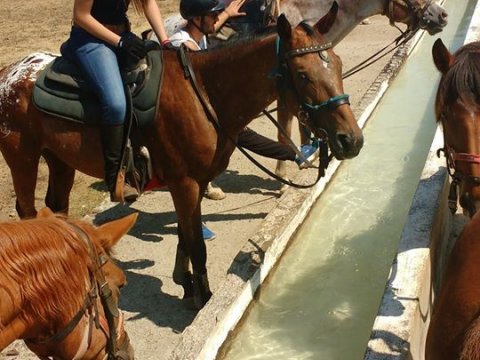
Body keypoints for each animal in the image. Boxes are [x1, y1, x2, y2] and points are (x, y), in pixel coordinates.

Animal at [0, 11, 362, 310]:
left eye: (338, 63)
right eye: (303, 75)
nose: (352, 140)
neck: (205, 94)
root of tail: (11, 72)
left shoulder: (195, 182)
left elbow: (186, 237)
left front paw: (186, 286)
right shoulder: (184, 183)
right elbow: (196, 245)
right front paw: (203, 298)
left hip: (60, 159)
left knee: (56, 207)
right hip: (23, 157)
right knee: (28, 210)